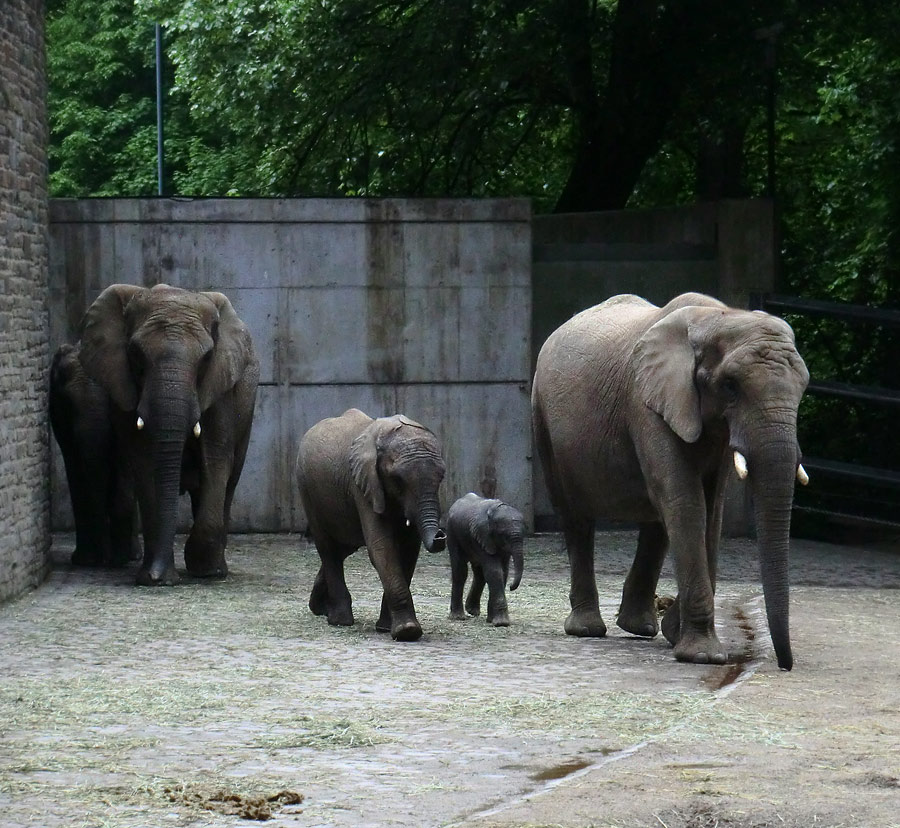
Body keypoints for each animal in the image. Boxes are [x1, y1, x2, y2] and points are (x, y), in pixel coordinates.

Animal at [75, 284, 258, 588]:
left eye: (207, 357)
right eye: (135, 353)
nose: (158, 577)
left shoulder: (220, 386)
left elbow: (216, 457)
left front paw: (205, 570)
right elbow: (144, 462)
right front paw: (155, 578)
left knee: (229, 480)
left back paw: (216, 568)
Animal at [298, 408, 448, 640]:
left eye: (441, 476)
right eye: (398, 479)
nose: (441, 536)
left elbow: (408, 551)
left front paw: (388, 628)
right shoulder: (363, 484)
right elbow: (382, 548)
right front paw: (408, 631)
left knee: (343, 548)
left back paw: (320, 609)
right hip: (307, 489)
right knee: (328, 548)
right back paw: (339, 621)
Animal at [444, 492, 524, 628]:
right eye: (503, 534)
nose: (511, 587)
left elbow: (503, 572)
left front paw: (492, 620)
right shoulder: (483, 536)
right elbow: (494, 571)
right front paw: (501, 623)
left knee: (479, 573)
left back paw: (472, 611)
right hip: (452, 532)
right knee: (460, 571)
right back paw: (458, 617)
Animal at [532, 294, 812, 668]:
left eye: (803, 386)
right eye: (730, 385)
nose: (785, 664)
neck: (717, 317)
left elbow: (711, 511)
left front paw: (676, 635)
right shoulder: (646, 403)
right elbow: (686, 501)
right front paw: (703, 656)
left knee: (655, 522)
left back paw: (640, 627)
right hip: (542, 417)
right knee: (576, 517)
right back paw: (588, 629)